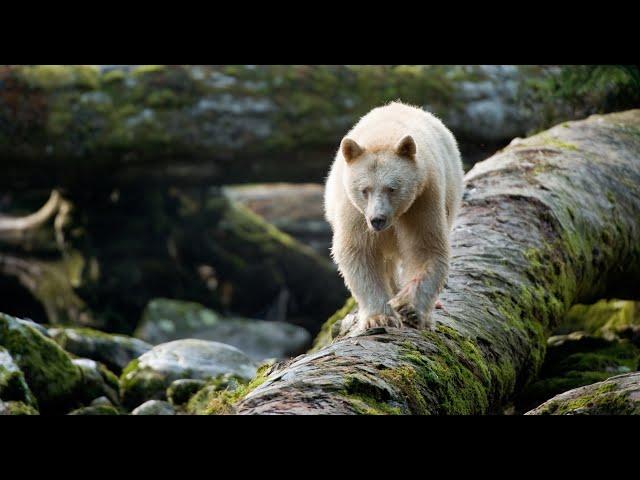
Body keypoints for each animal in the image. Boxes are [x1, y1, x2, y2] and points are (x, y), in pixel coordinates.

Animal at [322, 101, 462, 332]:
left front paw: (409, 308)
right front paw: (380, 317)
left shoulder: (422, 199)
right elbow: (359, 251)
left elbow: (425, 247)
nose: (377, 219)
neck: (383, 136)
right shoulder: (354, 210)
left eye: (392, 188)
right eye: (364, 190)